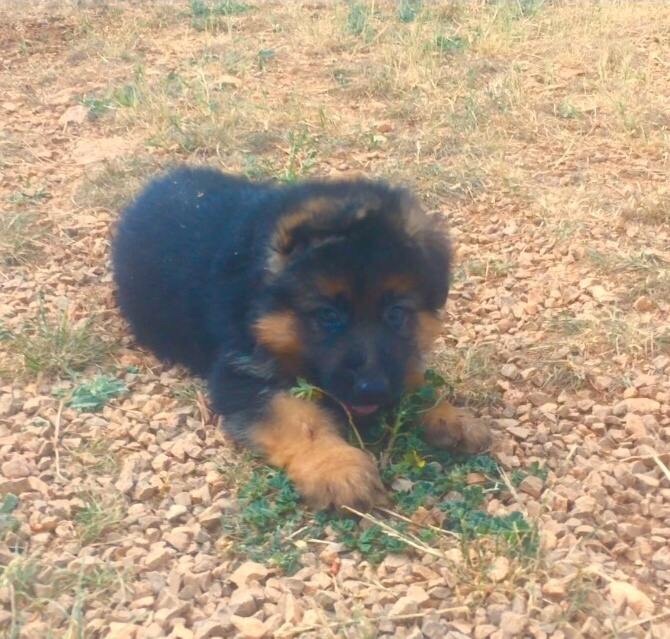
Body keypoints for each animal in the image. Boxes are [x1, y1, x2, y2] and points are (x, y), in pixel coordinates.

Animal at [113, 169, 494, 510]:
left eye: (396, 313)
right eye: (328, 316)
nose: (373, 390)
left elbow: (412, 375)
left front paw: (449, 416)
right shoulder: (241, 373)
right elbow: (299, 418)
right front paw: (338, 467)